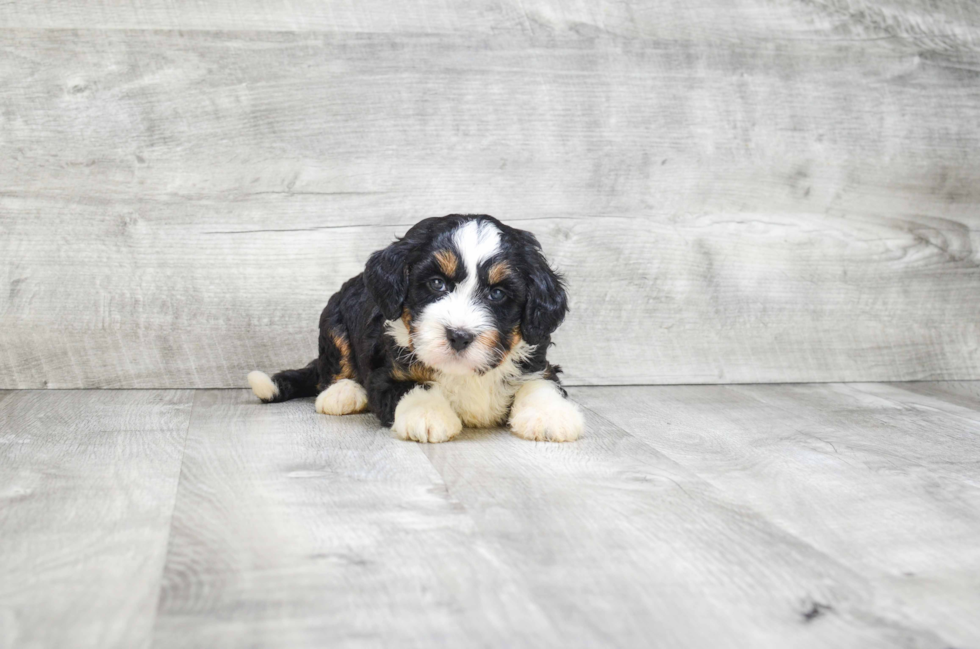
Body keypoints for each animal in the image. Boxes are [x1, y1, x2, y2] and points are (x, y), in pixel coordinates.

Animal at [247, 215, 580, 442]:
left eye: (497, 293)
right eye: (436, 284)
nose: (459, 336)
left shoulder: (537, 361)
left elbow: (540, 383)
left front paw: (550, 416)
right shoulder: (386, 372)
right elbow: (416, 386)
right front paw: (428, 415)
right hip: (333, 319)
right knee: (331, 368)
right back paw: (342, 394)